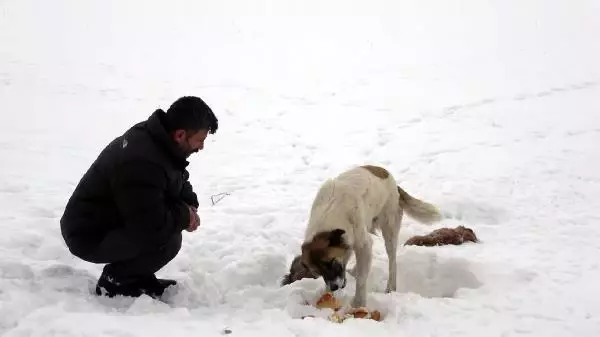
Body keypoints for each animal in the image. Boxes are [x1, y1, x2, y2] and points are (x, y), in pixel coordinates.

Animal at [280, 163, 440, 308]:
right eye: (317, 272)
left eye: (330, 262)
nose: (334, 287)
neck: (328, 216)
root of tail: (389, 176)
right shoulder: (349, 244)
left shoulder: (362, 244)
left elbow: (362, 279)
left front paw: (358, 304)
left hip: (389, 229)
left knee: (392, 260)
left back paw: (390, 286)